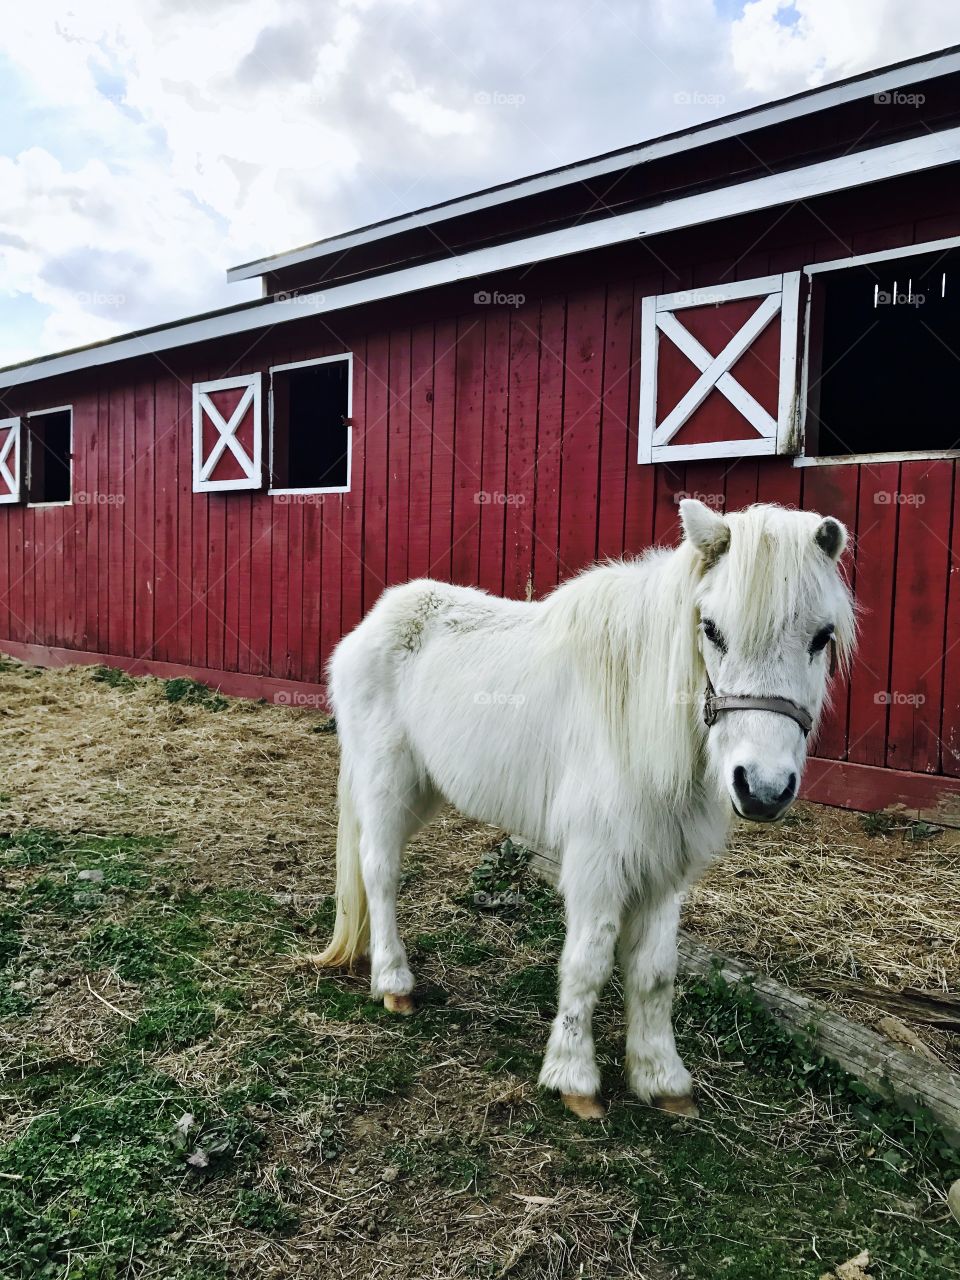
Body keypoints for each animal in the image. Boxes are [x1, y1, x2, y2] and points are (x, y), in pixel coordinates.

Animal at [316, 499, 855, 1121]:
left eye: (821, 636)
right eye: (711, 629)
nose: (763, 788)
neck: (637, 713)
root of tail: (372, 625)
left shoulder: (663, 869)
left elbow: (655, 971)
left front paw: (662, 1079)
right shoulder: (598, 864)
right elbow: (588, 963)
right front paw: (573, 1077)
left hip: (424, 791)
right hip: (387, 785)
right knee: (378, 872)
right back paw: (394, 983)